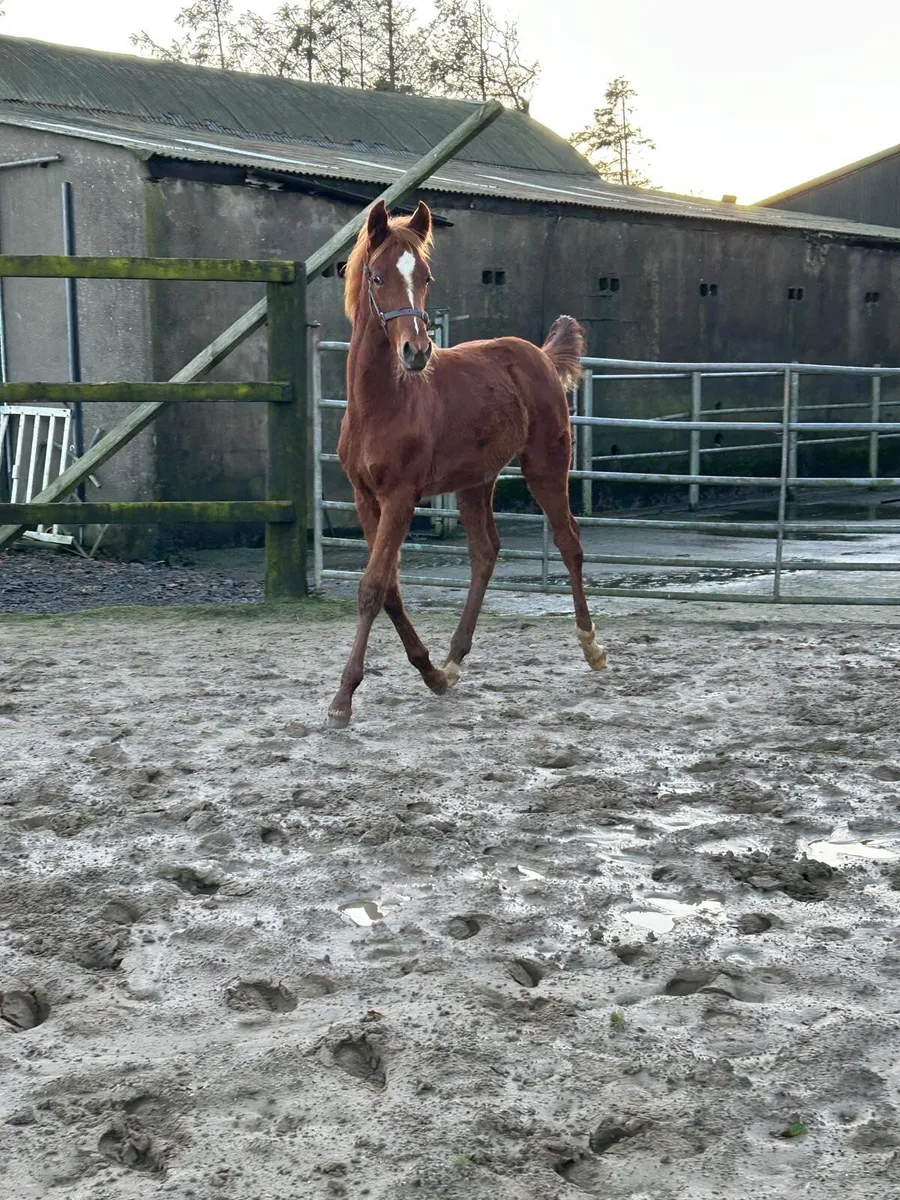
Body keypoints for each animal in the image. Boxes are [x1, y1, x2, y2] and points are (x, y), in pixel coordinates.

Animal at [326, 198, 607, 727]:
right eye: (376, 277)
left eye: (426, 277)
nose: (416, 352)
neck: (383, 403)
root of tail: (539, 355)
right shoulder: (365, 498)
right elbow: (390, 588)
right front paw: (431, 672)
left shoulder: (401, 498)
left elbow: (372, 586)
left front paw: (342, 699)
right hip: (475, 483)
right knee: (486, 551)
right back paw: (453, 660)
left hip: (546, 467)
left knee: (569, 541)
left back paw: (592, 646)